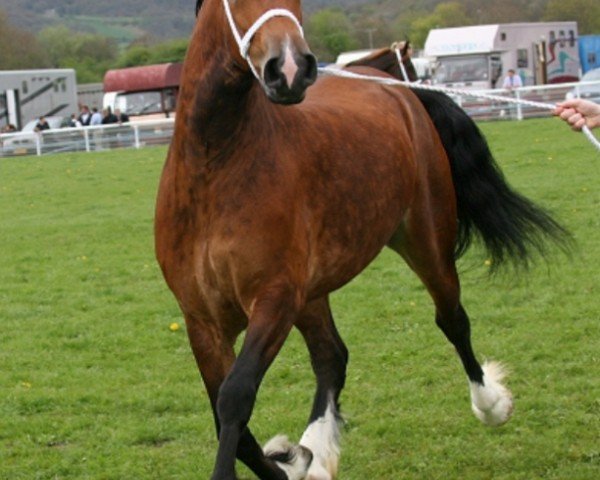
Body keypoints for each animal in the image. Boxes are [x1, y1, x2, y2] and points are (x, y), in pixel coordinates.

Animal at [155, 1, 568, 478]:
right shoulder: (202, 320)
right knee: (332, 357)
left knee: (452, 320)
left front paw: (292, 458)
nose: (290, 69)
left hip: (425, 242)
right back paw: (315, 454)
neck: (215, 170)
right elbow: (231, 425)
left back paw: (491, 405)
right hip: (313, 293)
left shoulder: (275, 298)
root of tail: (401, 94)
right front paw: (294, 459)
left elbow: (235, 398)